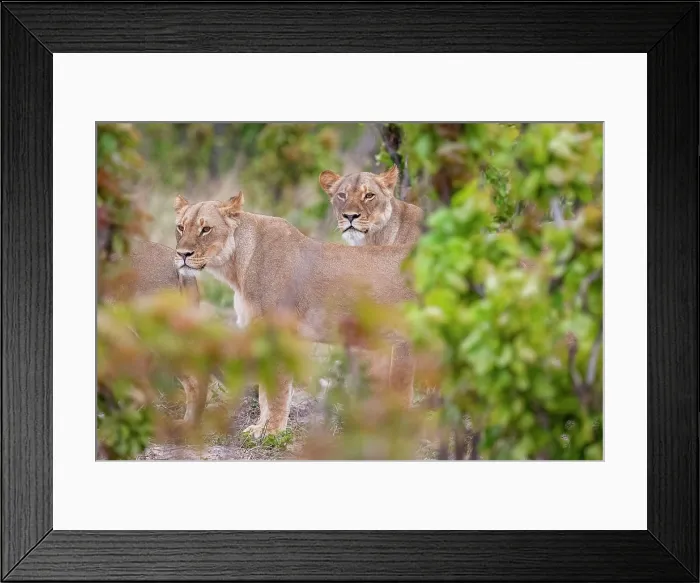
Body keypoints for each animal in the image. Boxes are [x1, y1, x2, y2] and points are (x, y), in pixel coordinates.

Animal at [173, 192, 415, 438]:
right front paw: (259, 428)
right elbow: (264, 391)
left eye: (206, 229)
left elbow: (277, 390)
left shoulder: (280, 331)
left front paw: (273, 432)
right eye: (181, 227)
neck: (236, 266)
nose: (182, 254)